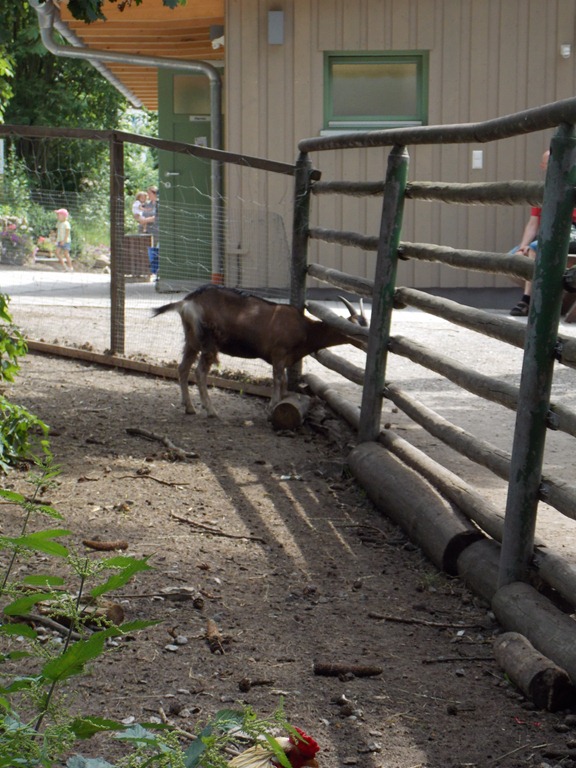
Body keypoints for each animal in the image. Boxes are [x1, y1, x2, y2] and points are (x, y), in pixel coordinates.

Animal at [152, 284, 367, 417]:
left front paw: (281, 402)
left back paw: (189, 407)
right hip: (209, 341)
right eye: (356, 330)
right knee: (199, 371)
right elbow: (278, 379)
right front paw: (272, 407)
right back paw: (211, 410)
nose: (367, 345)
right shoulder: (279, 353)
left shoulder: (284, 358)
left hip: (192, 340)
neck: (304, 327)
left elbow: (284, 382)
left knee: (182, 368)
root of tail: (186, 302)